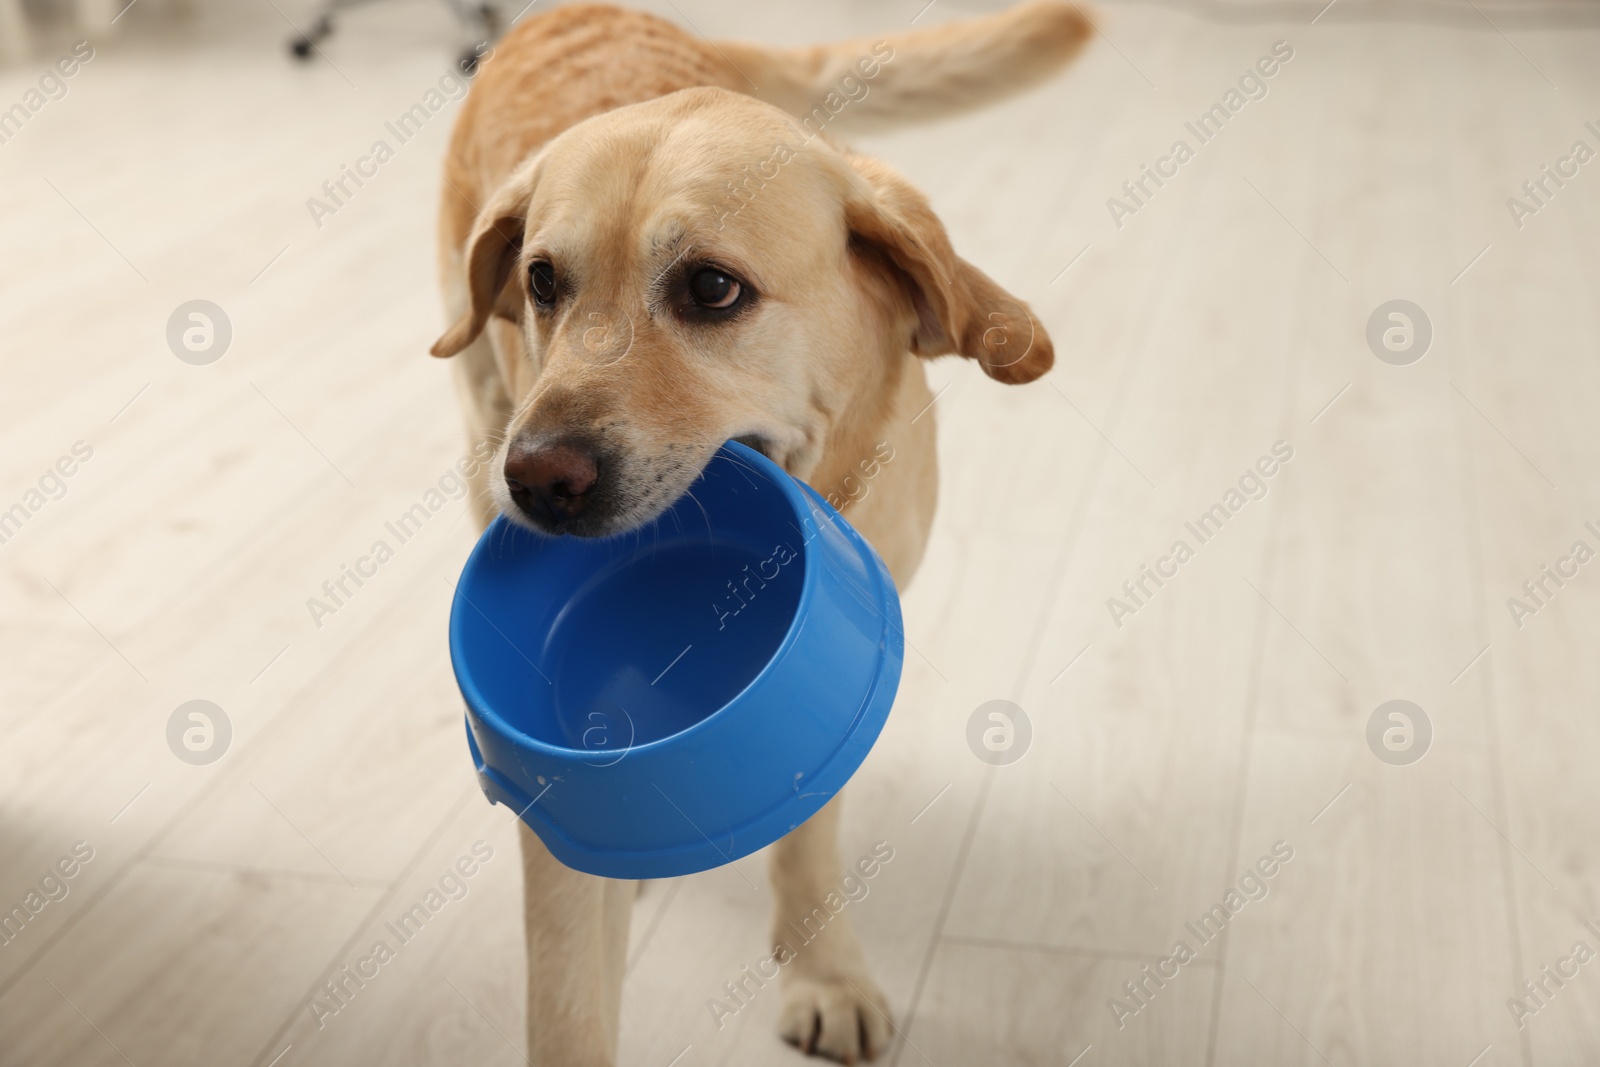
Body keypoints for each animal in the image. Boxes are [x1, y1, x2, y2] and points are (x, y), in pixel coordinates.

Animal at [432, 6, 1094, 1062]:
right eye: (542, 282)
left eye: (711, 288)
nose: (535, 480)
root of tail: (569, 14)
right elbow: (570, 996)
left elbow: (810, 830)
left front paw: (824, 967)